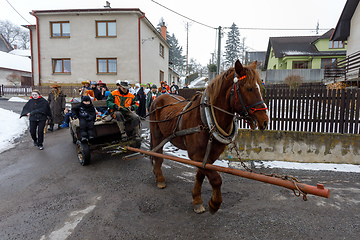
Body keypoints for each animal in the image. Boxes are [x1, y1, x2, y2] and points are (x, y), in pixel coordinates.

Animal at [148, 60, 268, 214]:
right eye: (249, 88)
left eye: (260, 88)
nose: (265, 121)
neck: (205, 118)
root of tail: (159, 98)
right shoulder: (195, 155)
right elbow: (216, 178)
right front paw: (214, 203)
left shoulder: (210, 155)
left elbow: (201, 175)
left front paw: (197, 200)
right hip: (156, 133)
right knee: (157, 155)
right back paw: (160, 178)